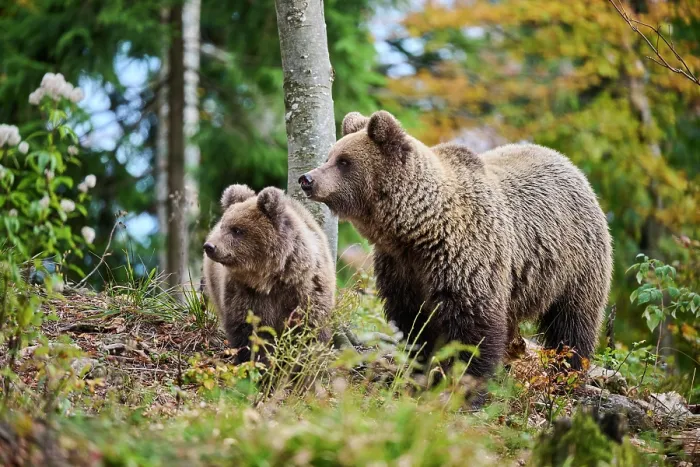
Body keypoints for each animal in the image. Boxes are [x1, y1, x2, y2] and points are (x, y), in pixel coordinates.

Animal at [203, 184, 335, 363]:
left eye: (237, 230)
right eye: (223, 225)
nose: (210, 246)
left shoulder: (306, 290)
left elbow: (310, 329)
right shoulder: (245, 294)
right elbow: (249, 332)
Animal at [298, 110, 612, 378]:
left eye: (344, 161)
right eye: (330, 156)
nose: (307, 178)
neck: (418, 229)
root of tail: (570, 165)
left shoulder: (467, 258)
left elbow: (474, 328)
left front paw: (465, 384)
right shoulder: (401, 267)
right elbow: (414, 322)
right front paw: (421, 369)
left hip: (576, 263)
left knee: (572, 322)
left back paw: (568, 370)